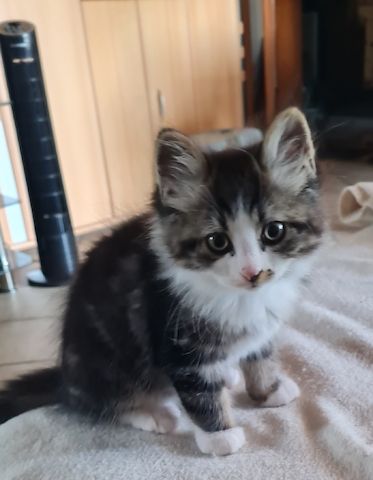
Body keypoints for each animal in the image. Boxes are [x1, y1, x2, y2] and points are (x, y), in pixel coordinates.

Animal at [0, 107, 322, 456]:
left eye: (274, 231)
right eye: (217, 242)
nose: (252, 272)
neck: (240, 297)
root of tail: (64, 376)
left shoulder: (261, 330)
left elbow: (260, 356)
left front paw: (268, 390)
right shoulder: (177, 342)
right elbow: (199, 392)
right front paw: (220, 436)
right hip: (105, 363)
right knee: (99, 403)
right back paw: (153, 414)